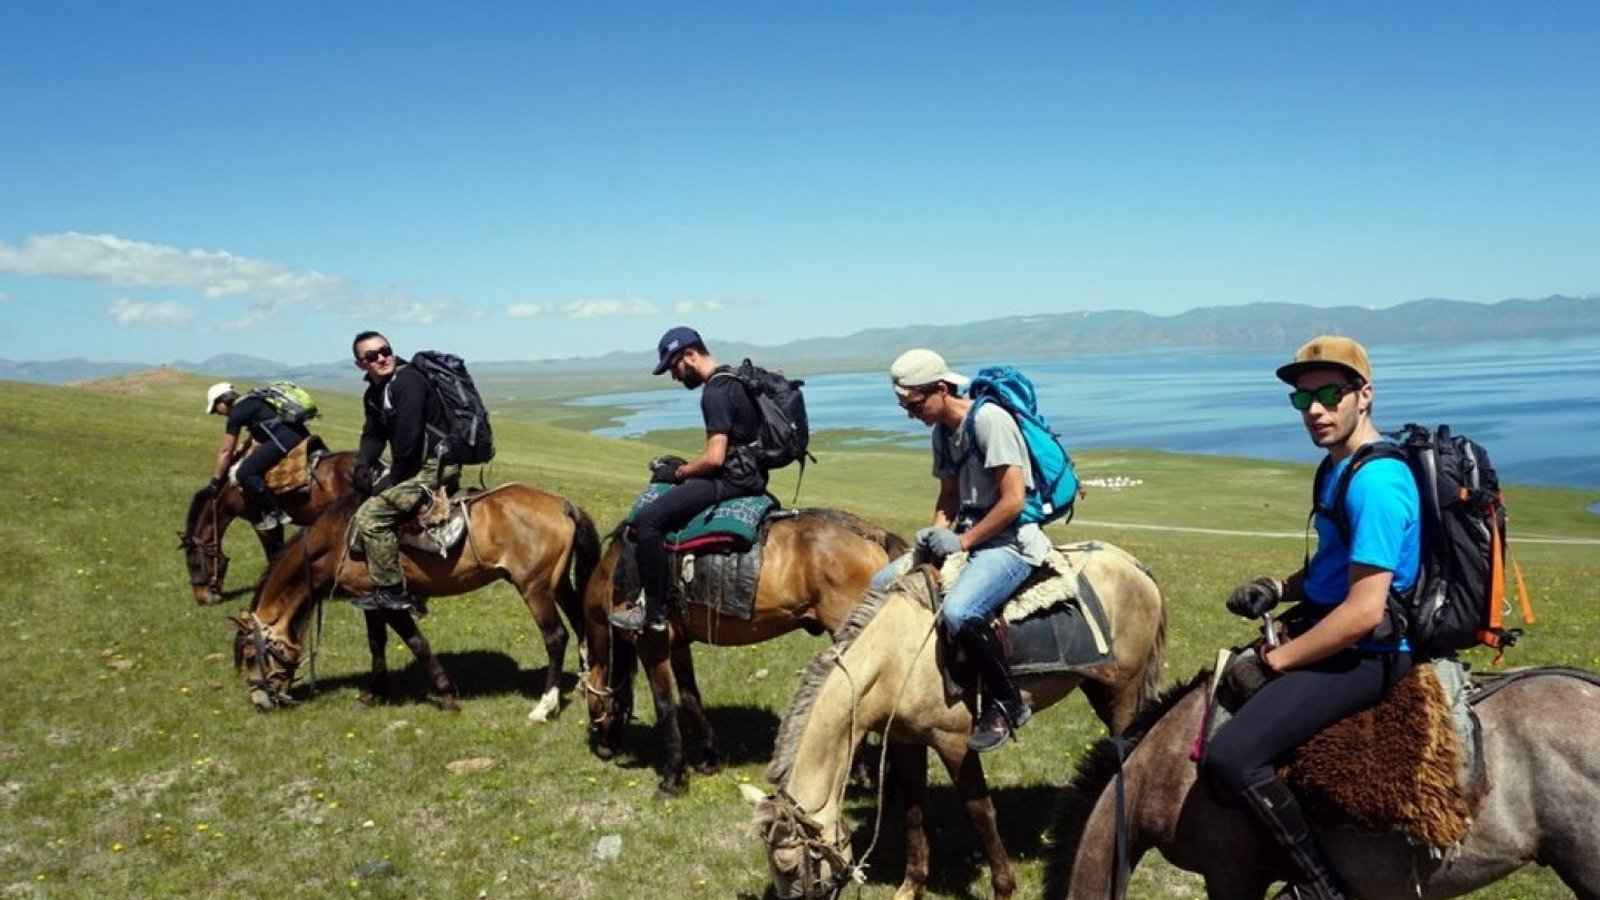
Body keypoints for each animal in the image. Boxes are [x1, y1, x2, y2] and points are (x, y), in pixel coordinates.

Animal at [238, 480, 604, 717]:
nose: (260, 701)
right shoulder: (371, 602)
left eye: (250, 655)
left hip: (533, 586)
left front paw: (446, 696)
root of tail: (562, 504)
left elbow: (416, 643)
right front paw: (374, 693)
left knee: (556, 636)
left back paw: (545, 706)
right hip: (558, 583)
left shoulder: (384, 600)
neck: (336, 540)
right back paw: (584, 686)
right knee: (579, 624)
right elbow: (377, 644)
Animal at [582, 506, 908, 791]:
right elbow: (690, 697)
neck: (614, 575)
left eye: (589, 699)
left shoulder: (652, 643)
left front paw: (673, 778)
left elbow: (665, 706)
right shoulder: (679, 644)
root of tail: (873, 534)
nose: (603, 749)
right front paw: (709, 759)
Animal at [748, 538, 1164, 896]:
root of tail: (1134, 566)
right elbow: (914, 812)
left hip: (1124, 690)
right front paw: (910, 887)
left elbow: (979, 812)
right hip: (1098, 686)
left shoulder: (955, 742)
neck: (897, 657)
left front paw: (1004, 888)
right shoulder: (906, 741)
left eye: (791, 866)